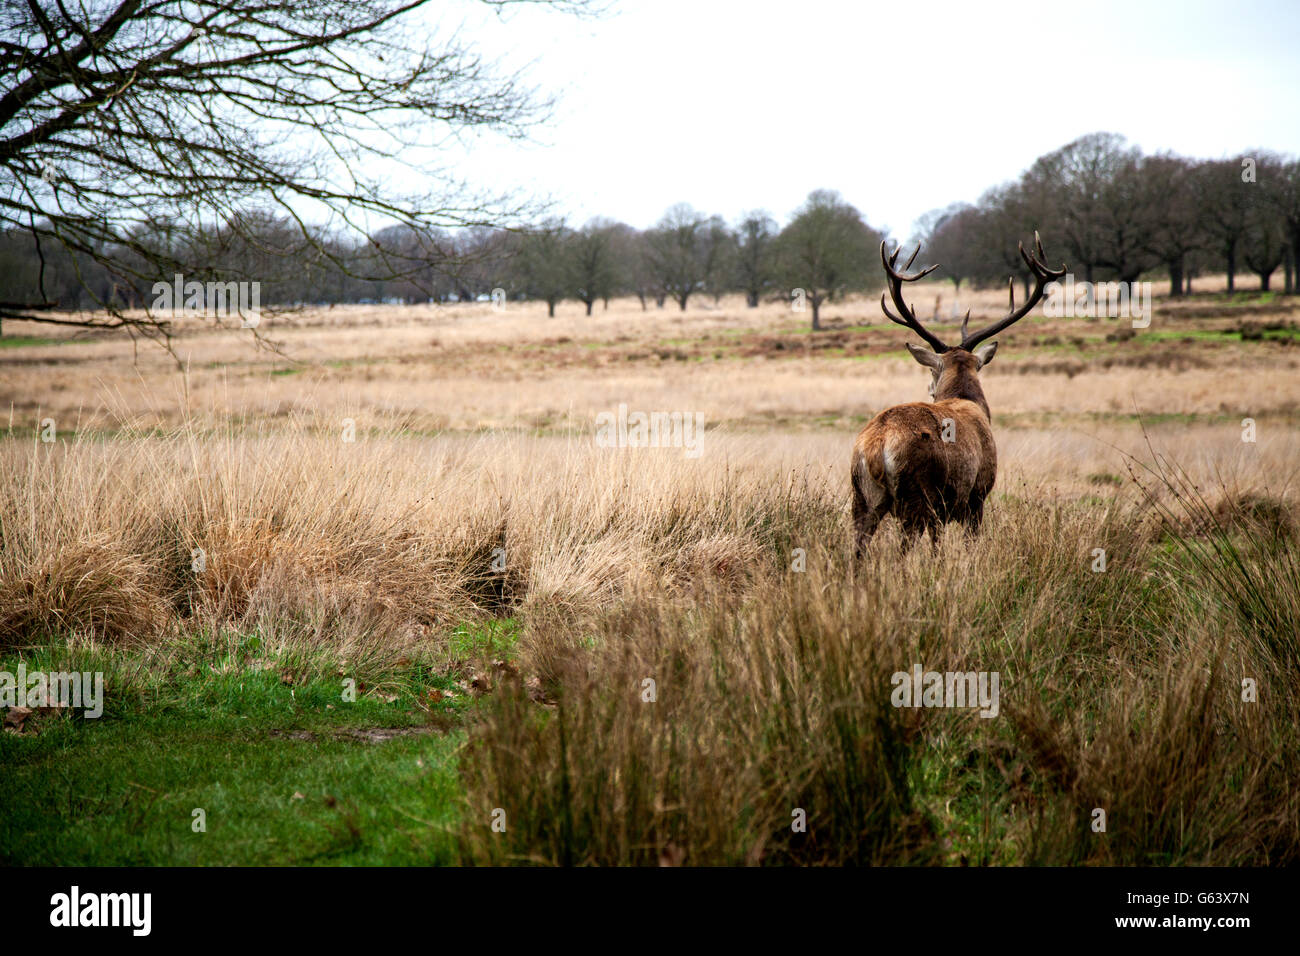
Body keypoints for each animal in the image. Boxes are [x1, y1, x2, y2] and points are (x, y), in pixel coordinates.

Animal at [852, 234, 1066, 561]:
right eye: (932, 370)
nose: (929, 388)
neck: (969, 401)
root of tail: (877, 446)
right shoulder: (977, 494)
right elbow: (967, 542)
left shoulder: (943, 512)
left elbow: (937, 546)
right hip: (917, 495)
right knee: (902, 552)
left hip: (861, 497)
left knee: (857, 550)